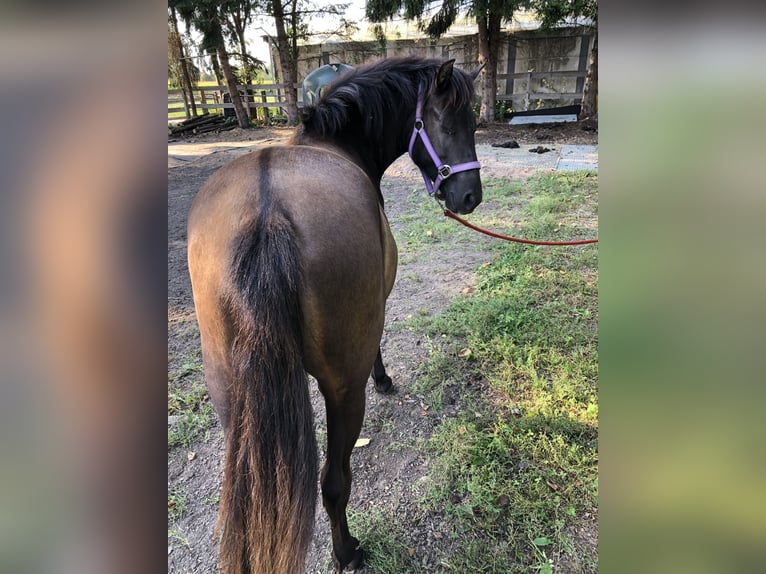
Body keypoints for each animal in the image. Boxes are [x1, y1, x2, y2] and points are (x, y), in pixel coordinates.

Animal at [186, 55, 484, 574]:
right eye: (451, 123)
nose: (471, 196)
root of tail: (267, 215)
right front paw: (385, 378)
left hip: (229, 395)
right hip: (344, 389)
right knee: (334, 483)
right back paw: (347, 552)